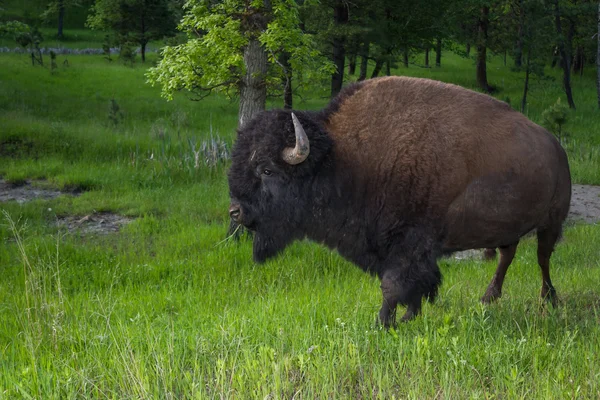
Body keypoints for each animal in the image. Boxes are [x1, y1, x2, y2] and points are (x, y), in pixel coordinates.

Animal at [226, 76, 572, 326]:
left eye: (267, 169)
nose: (235, 211)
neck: (341, 158)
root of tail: (556, 146)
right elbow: (414, 284)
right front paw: (408, 316)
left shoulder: (407, 244)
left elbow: (394, 284)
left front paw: (385, 322)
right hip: (508, 227)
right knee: (507, 255)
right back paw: (489, 297)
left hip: (551, 223)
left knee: (542, 258)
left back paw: (549, 298)